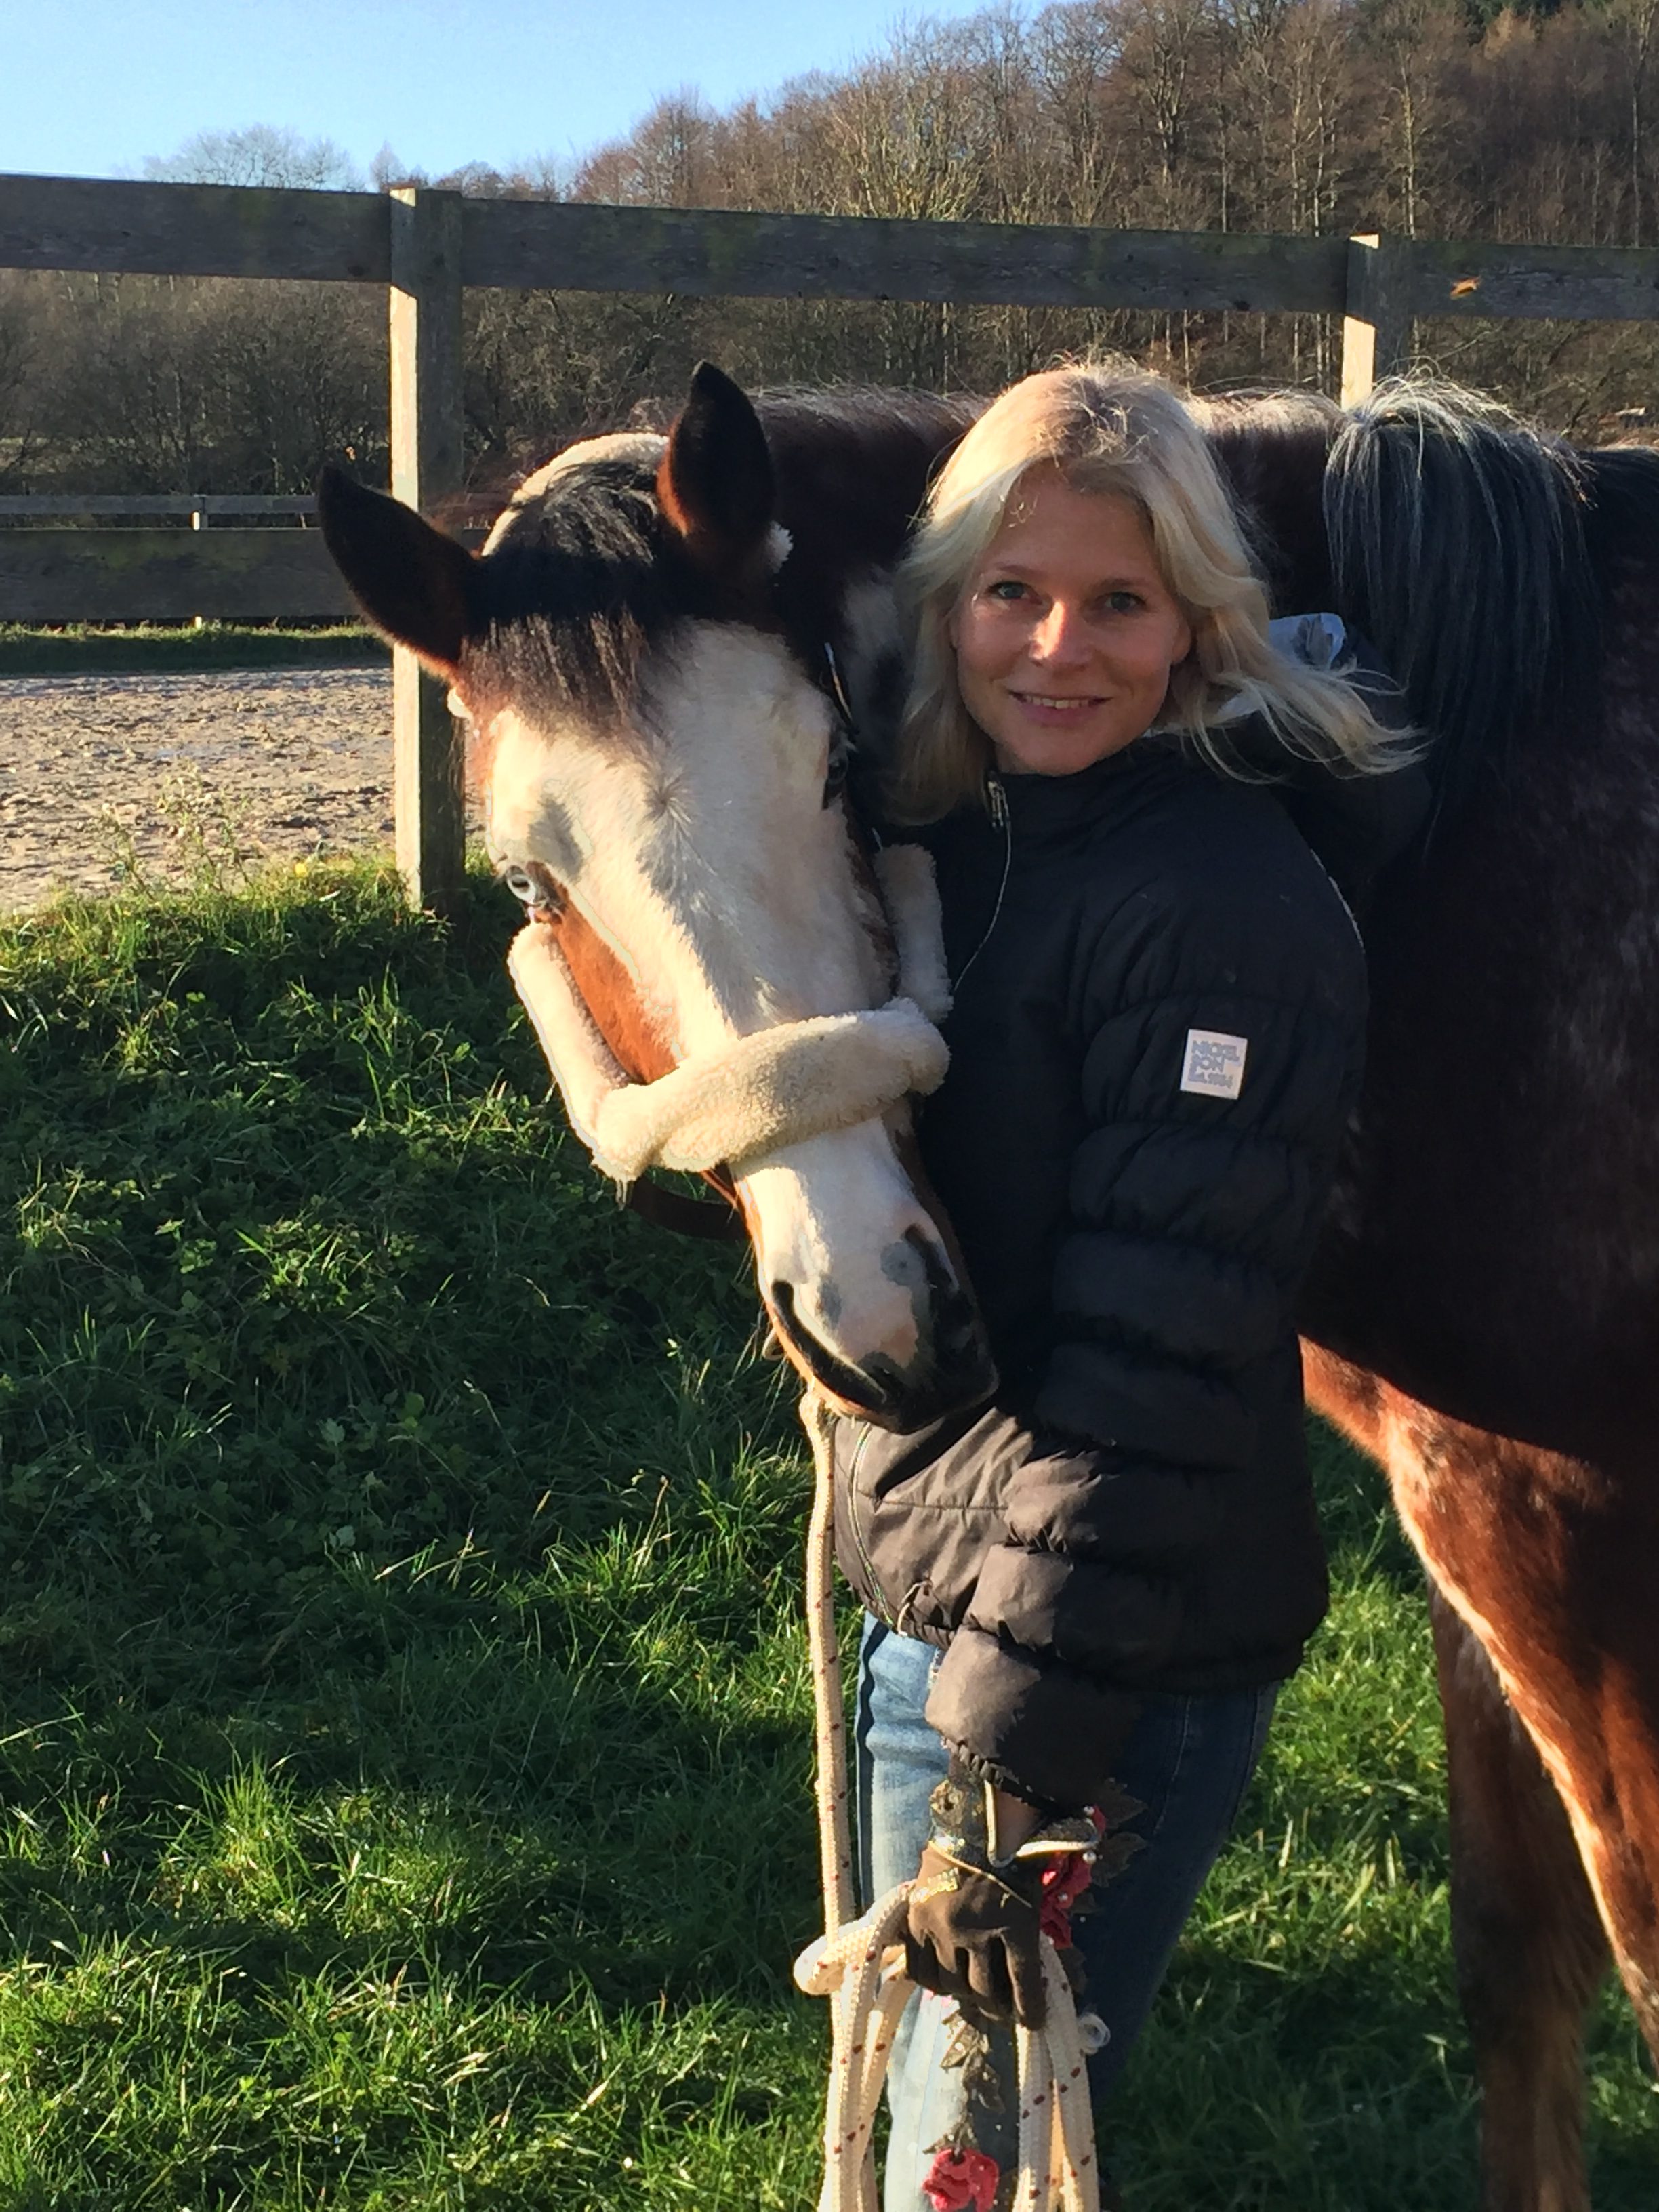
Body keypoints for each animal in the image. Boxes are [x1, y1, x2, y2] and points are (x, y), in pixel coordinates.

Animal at [321, 354, 1659, 2203]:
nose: (880, 1318)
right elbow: (1520, 1966)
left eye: (835, 770)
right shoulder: (1471, 1529)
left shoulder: (1567, 1542)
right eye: (531, 875)